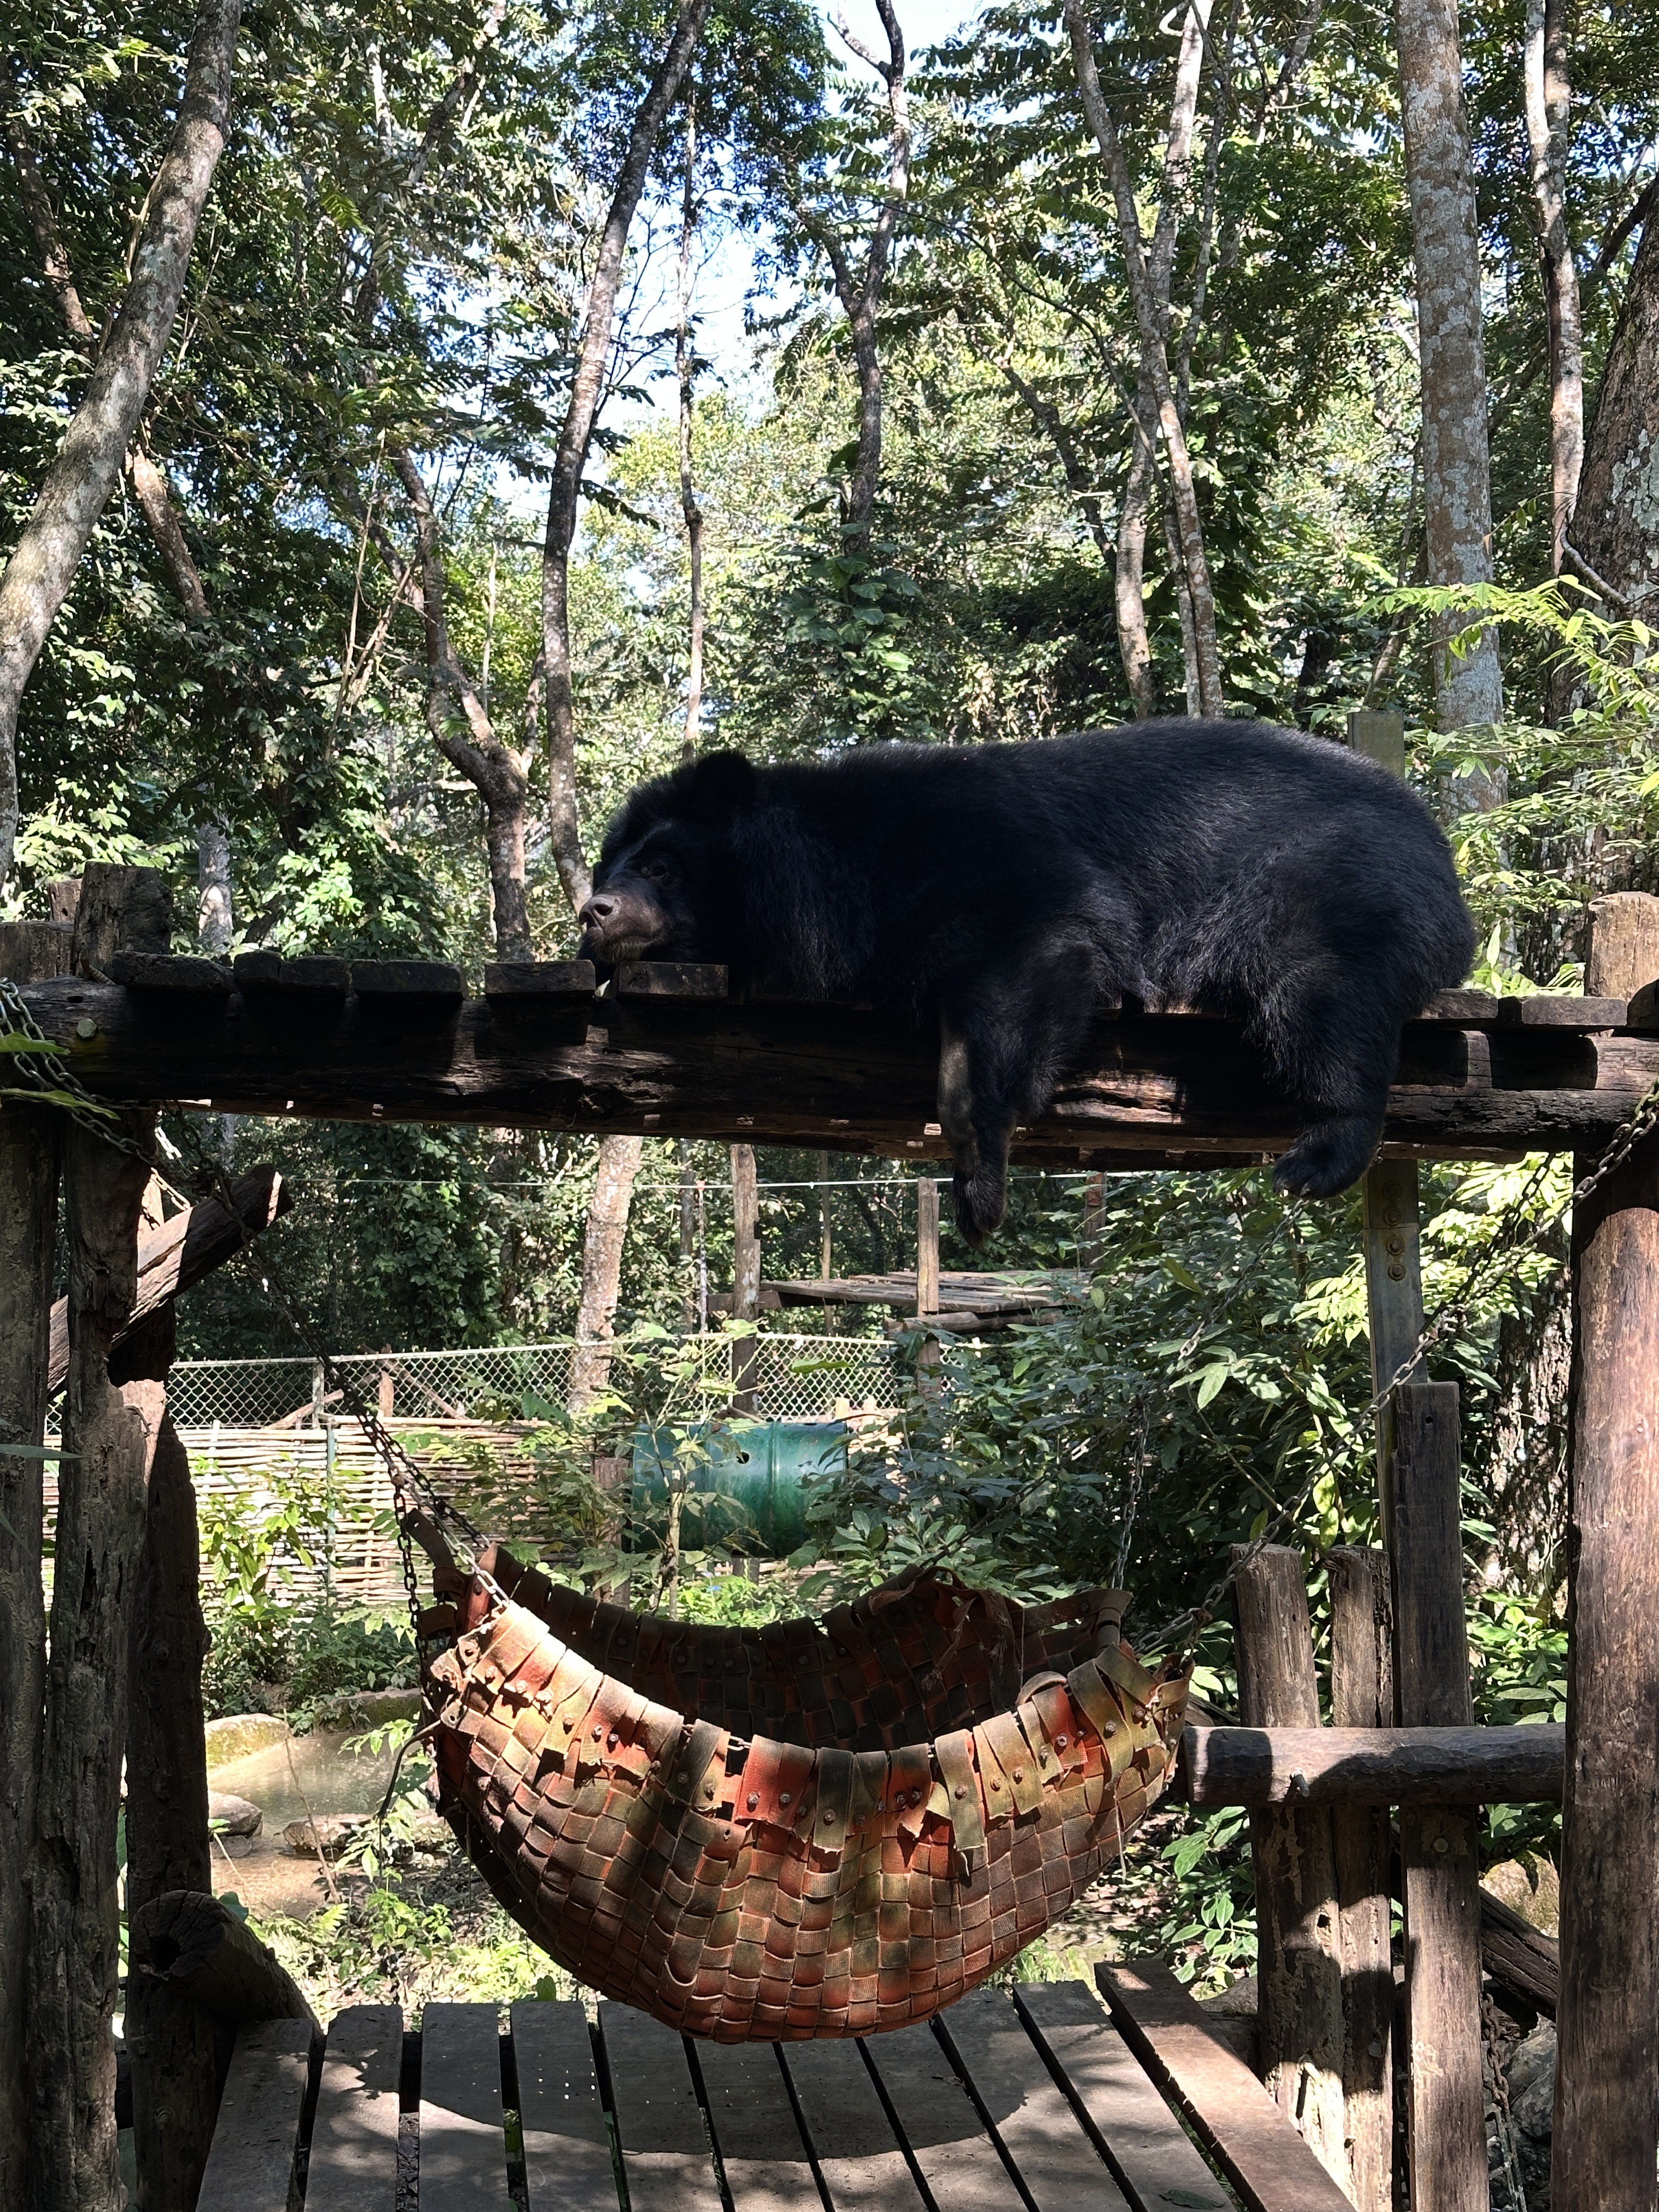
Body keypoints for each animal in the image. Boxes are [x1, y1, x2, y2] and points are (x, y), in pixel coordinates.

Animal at [578, 720, 1476, 1243]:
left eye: (661, 866)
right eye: (608, 869)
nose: (595, 912)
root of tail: (1441, 850)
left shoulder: (998, 872)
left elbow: (1031, 970)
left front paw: (980, 1194)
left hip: (1324, 889)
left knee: (1322, 1003)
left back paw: (1317, 1157)